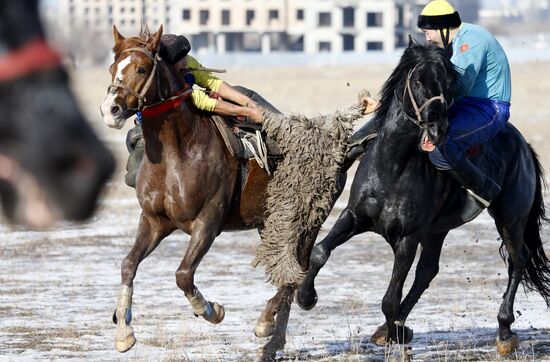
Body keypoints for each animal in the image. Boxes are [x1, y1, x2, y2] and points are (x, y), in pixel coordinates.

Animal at [101, 25, 322, 360]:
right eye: (113, 67)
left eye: (141, 68)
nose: (110, 109)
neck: (177, 152)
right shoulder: (154, 220)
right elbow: (128, 264)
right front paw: (124, 331)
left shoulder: (208, 222)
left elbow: (183, 274)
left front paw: (211, 310)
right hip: (270, 224)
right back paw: (272, 335)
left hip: (305, 224)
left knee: (294, 275)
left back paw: (267, 325)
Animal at [298, 41, 550, 354]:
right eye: (417, 81)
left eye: (447, 83)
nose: (437, 128)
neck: (393, 165)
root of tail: (524, 146)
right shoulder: (354, 216)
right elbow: (321, 251)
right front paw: (306, 297)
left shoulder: (408, 237)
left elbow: (390, 298)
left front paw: (396, 334)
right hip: (438, 230)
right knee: (428, 271)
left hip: (509, 219)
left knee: (518, 260)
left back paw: (504, 331)